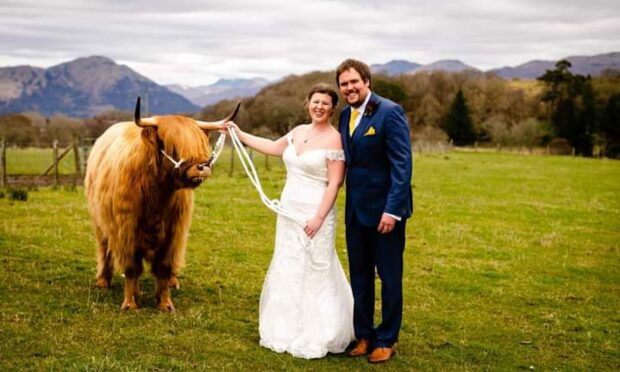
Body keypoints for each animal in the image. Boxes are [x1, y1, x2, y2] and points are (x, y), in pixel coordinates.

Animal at [87, 98, 240, 310]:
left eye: (200, 143)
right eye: (172, 145)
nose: (202, 167)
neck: (157, 196)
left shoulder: (174, 233)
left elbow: (164, 268)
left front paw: (165, 303)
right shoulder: (126, 231)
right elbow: (131, 268)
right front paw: (130, 303)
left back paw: (173, 281)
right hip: (100, 222)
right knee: (104, 250)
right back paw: (103, 281)